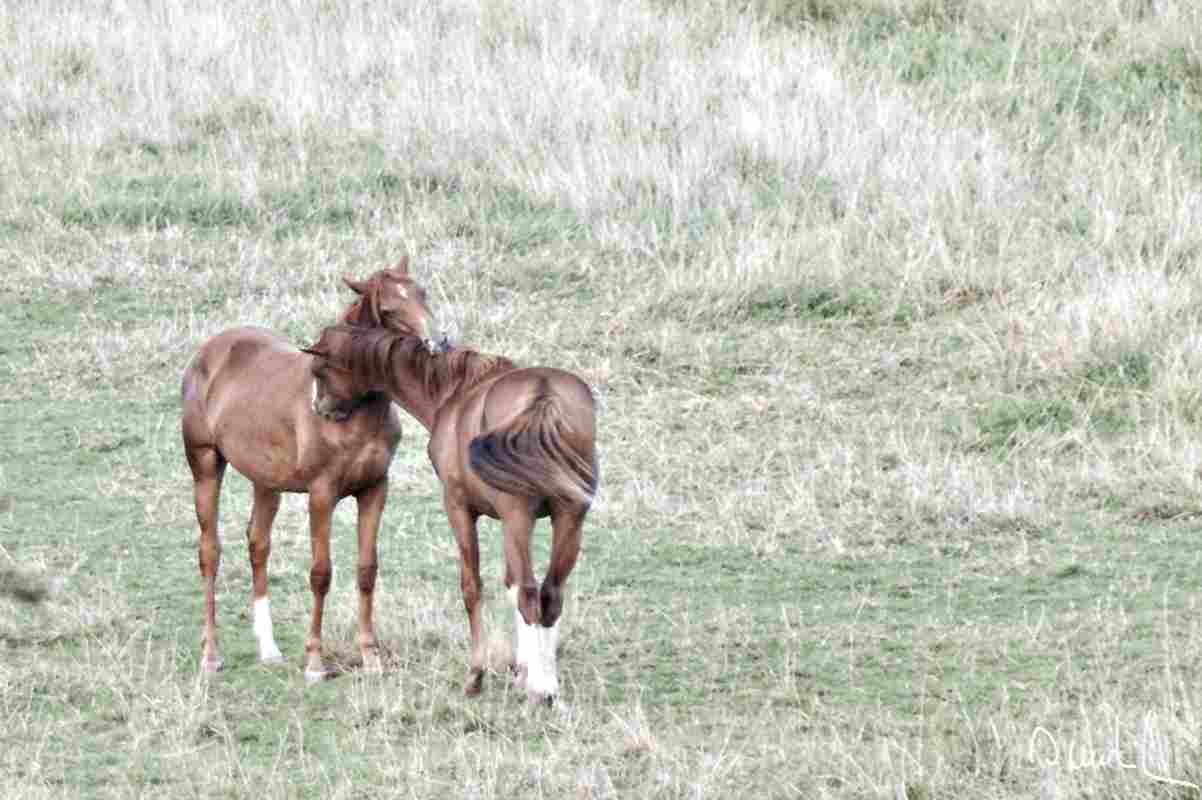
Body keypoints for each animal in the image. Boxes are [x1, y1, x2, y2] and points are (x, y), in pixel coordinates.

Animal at [175, 255, 444, 677]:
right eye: (388, 310)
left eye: (422, 292)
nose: (438, 342)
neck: (353, 412)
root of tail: (207, 352)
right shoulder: (321, 494)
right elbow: (321, 573)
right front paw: (315, 661)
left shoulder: (374, 489)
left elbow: (367, 571)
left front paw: (370, 656)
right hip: (205, 465)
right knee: (210, 552)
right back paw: (211, 654)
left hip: (265, 483)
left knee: (258, 545)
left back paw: (268, 649)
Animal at [302, 321, 598, 696]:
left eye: (319, 370)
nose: (319, 409)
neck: (455, 392)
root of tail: (543, 393)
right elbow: (511, 584)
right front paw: (522, 669)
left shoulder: (459, 508)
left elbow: (473, 588)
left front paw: (477, 674)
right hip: (568, 518)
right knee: (549, 594)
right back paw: (547, 685)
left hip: (519, 517)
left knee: (532, 595)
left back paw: (540, 691)